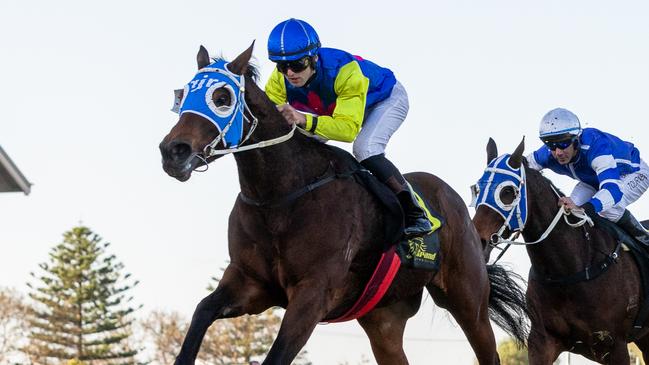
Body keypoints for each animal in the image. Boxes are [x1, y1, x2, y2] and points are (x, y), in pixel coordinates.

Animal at [158, 44, 528, 362]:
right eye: (183, 95)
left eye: (221, 98)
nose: (173, 151)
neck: (279, 198)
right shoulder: (251, 284)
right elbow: (201, 313)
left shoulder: (312, 295)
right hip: (384, 319)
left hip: (469, 301)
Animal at [470, 138, 648, 362]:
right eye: (477, 189)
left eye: (508, 192)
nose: (479, 240)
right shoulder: (542, 341)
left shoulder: (614, 344)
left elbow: (612, 188)